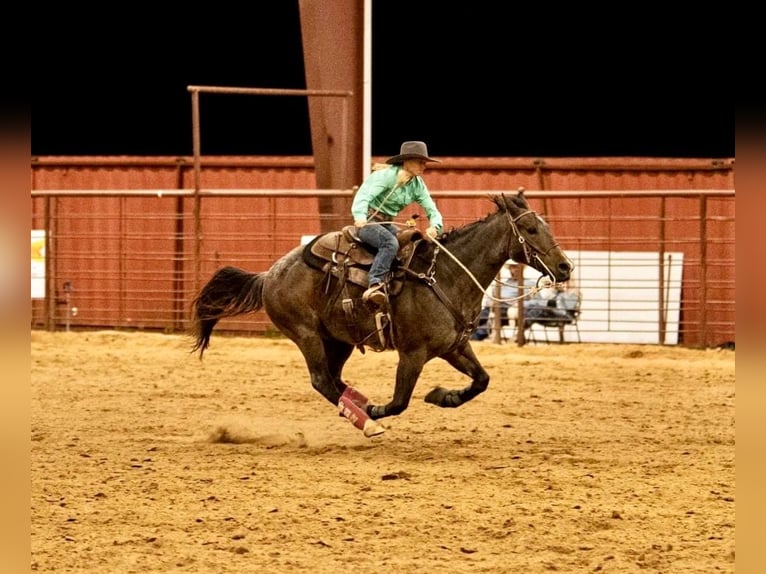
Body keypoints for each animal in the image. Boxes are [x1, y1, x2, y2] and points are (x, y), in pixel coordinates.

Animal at [190, 191, 576, 438]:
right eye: (530, 229)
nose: (565, 267)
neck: (446, 276)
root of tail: (268, 274)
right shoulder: (413, 353)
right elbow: (400, 401)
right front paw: (379, 412)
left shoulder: (455, 346)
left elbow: (482, 380)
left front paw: (443, 396)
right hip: (307, 335)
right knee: (322, 381)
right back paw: (366, 420)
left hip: (338, 340)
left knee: (334, 380)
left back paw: (356, 403)